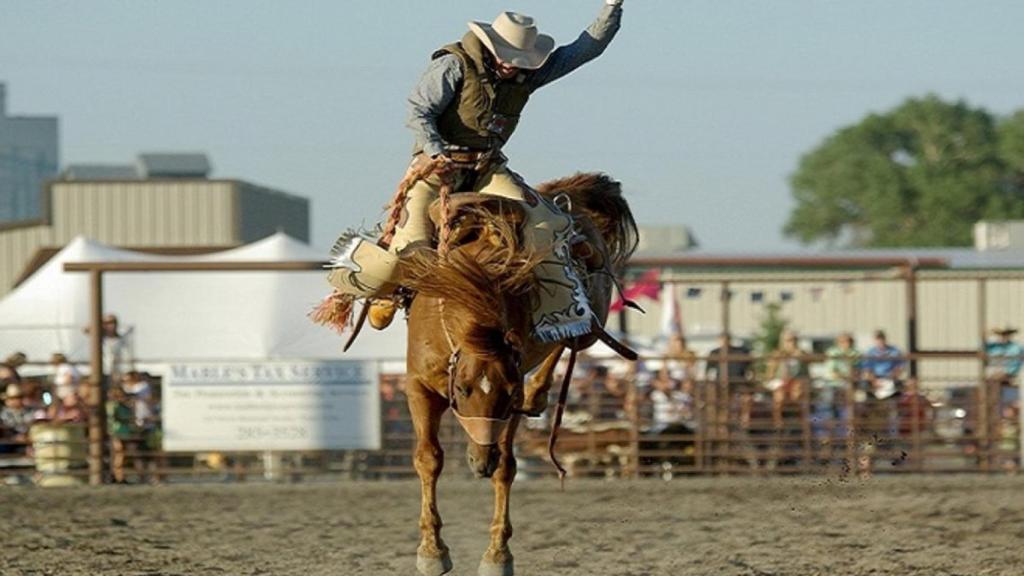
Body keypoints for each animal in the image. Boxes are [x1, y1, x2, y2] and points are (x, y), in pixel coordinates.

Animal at [397, 171, 630, 573]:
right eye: (463, 390)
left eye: (507, 397)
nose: (480, 462)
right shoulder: (418, 388)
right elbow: (429, 458)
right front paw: (431, 551)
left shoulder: (514, 387)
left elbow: (507, 467)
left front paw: (497, 555)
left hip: (591, 320)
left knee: (573, 336)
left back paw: (539, 393)